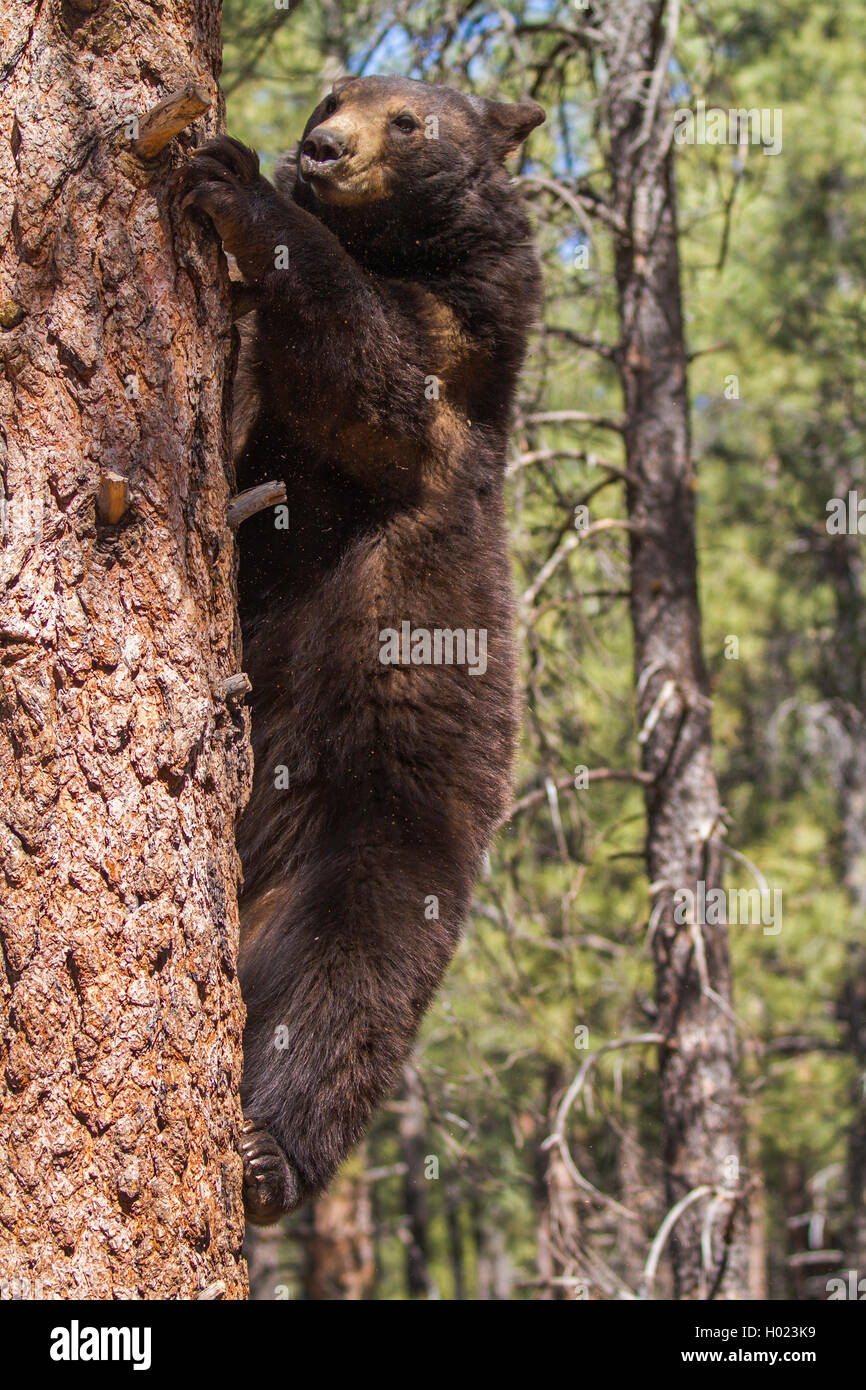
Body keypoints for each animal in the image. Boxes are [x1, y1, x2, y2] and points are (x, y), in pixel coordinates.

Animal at [174, 78, 542, 1228]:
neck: (399, 245)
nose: (322, 148)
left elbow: (371, 372)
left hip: (383, 844)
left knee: (346, 996)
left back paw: (268, 1157)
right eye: (337, 93)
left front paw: (234, 181)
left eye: (411, 120)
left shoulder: (455, 358)